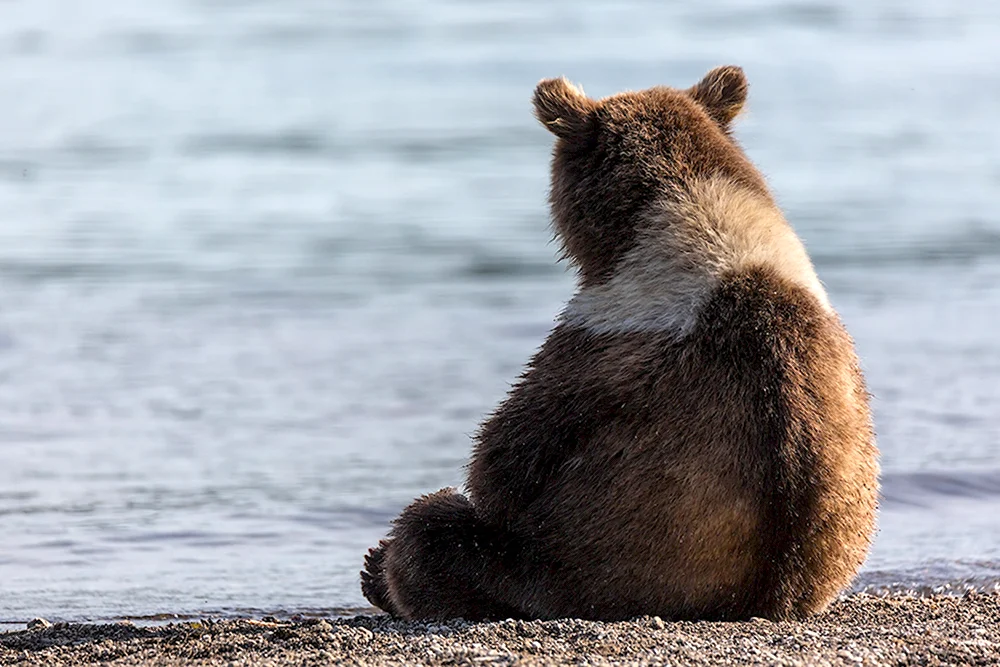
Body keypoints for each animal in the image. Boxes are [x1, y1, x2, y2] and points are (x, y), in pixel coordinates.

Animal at [360, 65, 876, 624]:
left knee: (434, 534)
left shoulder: (596, 345)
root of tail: (762, 600)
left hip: (567, 572)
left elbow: (502, 464)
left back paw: (381, 570)